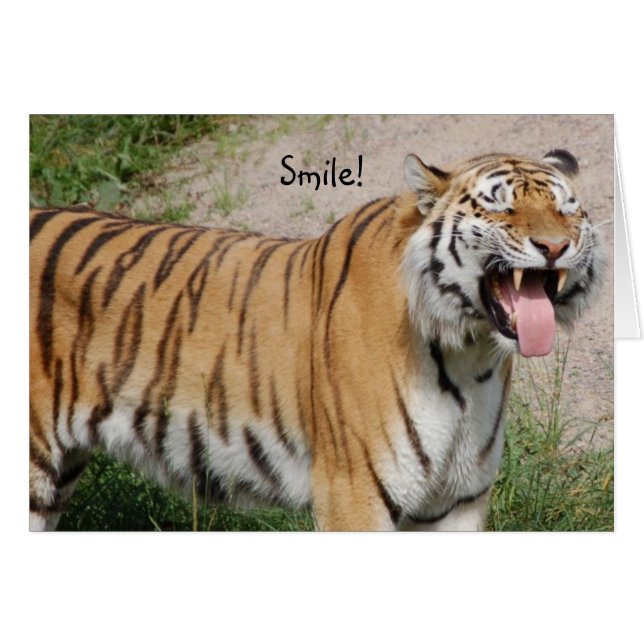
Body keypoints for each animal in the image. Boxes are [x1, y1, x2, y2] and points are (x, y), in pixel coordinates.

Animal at [29, 148, 602, 531]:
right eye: (500, 208)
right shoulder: (353, 493)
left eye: (566, 209)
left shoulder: (457, 502)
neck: (469, 353)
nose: (555, 246)